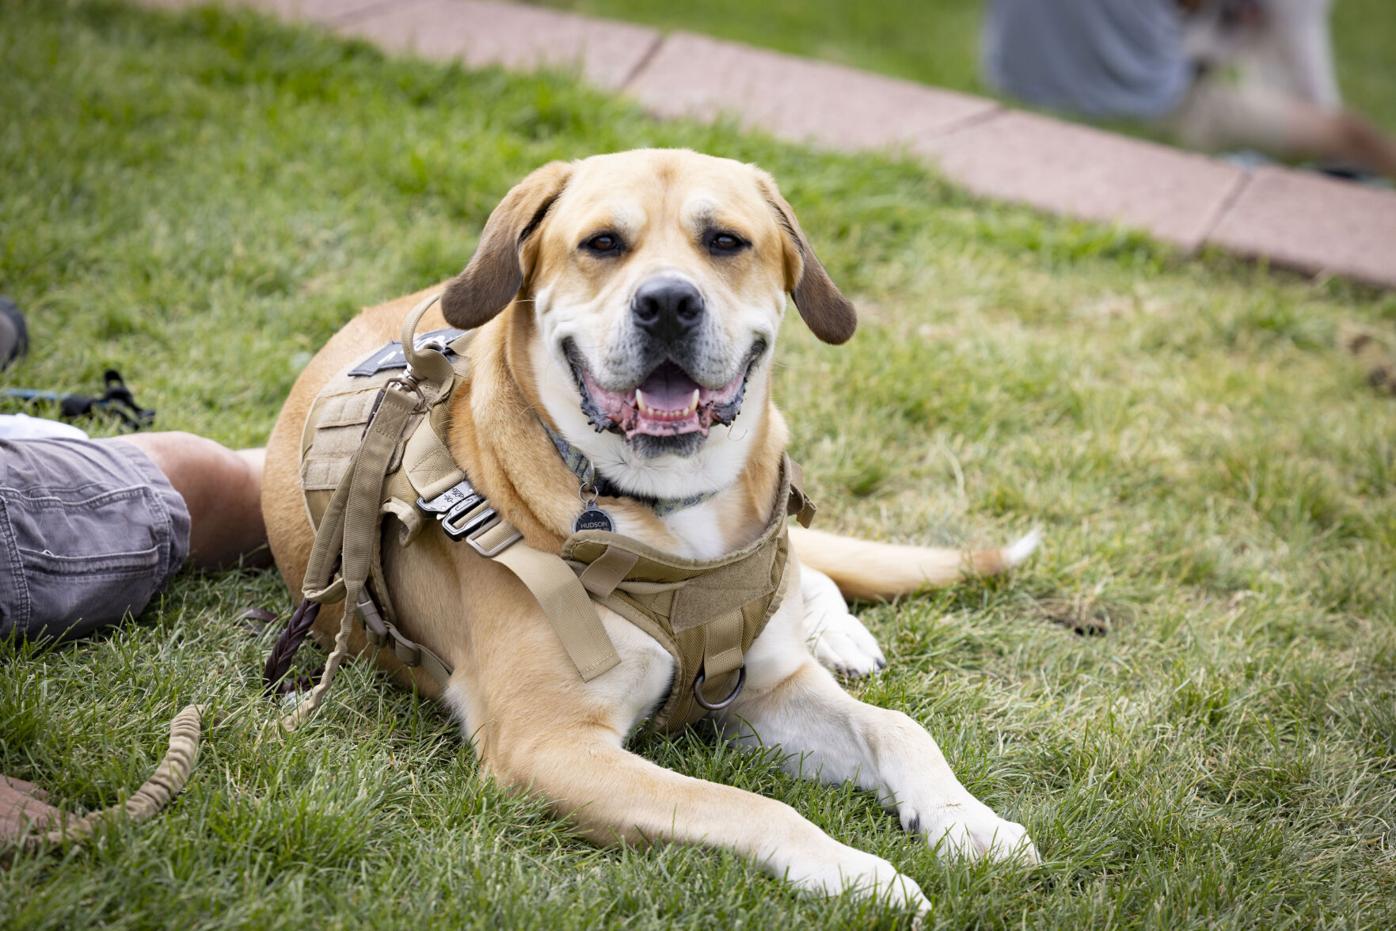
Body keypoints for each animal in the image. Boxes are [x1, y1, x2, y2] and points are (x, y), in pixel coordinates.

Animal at [266, 149, 1044, 915]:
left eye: (725, 240)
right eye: (602, 243)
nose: (668, 303)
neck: (668, 503)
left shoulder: (769, 688)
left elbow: (897, 727)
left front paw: (969, 820)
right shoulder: (548, 745)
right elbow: (746, 803)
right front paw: (857, 874)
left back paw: (841, 633)